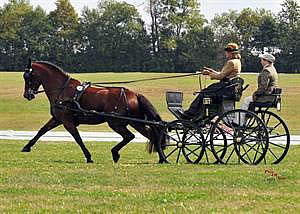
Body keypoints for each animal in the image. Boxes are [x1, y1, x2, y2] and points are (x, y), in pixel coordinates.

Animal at [22, 59, 168, 163]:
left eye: (27, 76)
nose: (27, 95)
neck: (62, 89)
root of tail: (134, 94)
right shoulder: (58, 119)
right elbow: (42, 130)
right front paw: (27, 147)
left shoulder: (67, 121)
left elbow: (78, 138)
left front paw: (88, 157)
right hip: (135, 122)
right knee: (150, 136)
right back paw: (162, 158)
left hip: (115, 123)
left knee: (129, 136)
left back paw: (116, 153)